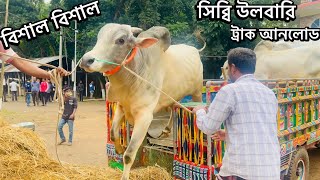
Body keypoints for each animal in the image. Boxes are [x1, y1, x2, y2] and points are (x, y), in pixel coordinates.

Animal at [80, 23, 205, 179]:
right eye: (99, 37)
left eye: (121, 40)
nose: (86, 60)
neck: (134, 76)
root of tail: (195, 50)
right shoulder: (121, 106)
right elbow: (114, 133)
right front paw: (119, 149)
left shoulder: (144, 117)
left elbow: (129, 155)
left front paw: (124, 175)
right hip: (174, 94)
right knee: (173, 107)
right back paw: (166, 129)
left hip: (197, 92)